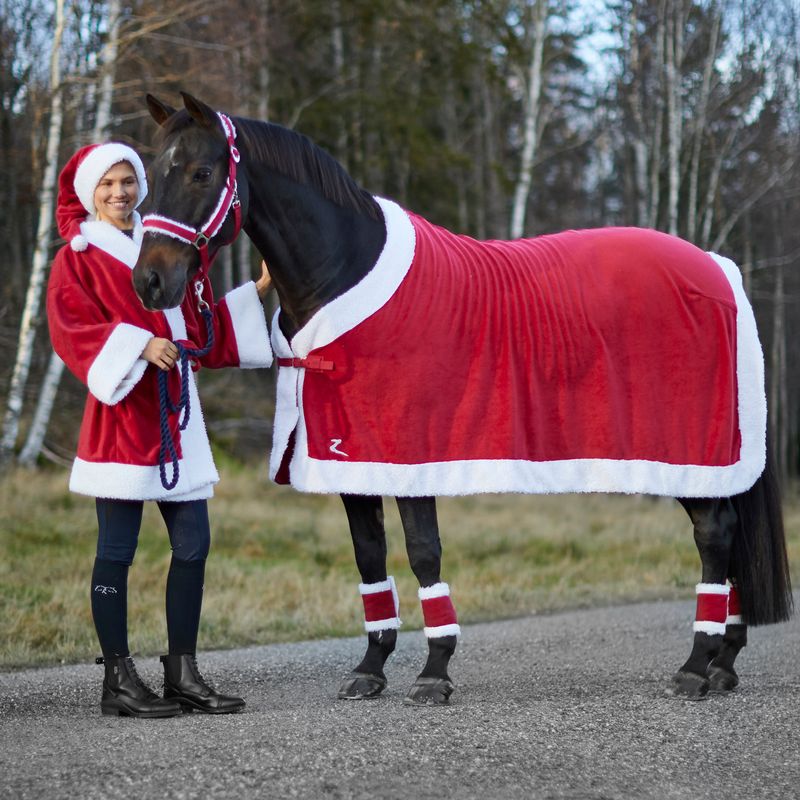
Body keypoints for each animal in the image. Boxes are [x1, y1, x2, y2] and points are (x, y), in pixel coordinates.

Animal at [134, 95, 792, 708]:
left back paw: (696, 666)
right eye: (151, 170)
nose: (150, 282)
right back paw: (724, 662)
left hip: (691, 451)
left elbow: (424, 555)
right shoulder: (350, 461)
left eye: (200, 172)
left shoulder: (412, 457)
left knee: (715, 535)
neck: (346, 272)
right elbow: (369, 557)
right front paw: (371, 669)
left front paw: (433, 672)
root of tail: (719, 269)